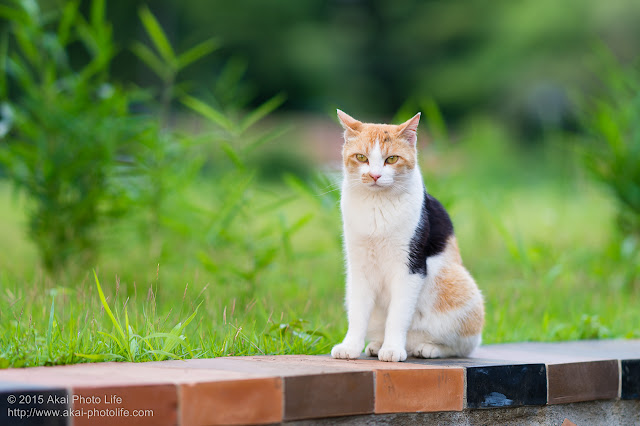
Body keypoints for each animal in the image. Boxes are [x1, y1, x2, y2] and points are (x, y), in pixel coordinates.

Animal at [330, 110, 484, 362]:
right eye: (361, 157)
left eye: (391, 159)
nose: (374, 175)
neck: (377, 206)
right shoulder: (359, 267)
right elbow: (357, 312)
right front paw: (350, 346)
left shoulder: (410, 267)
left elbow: (398, 314)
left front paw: (392, 349)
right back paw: (377, 344)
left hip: (457, 283)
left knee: (463, 346)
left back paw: (428, 348)